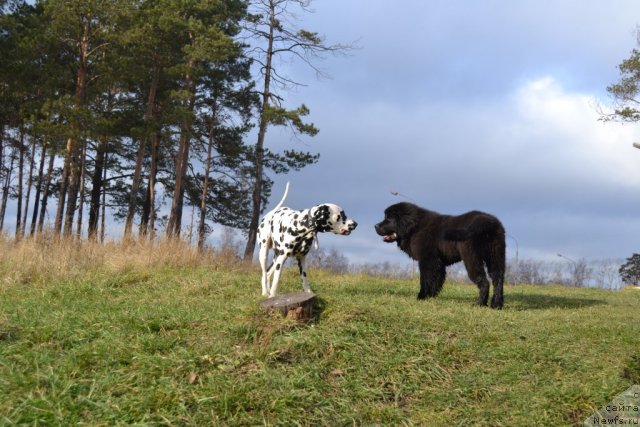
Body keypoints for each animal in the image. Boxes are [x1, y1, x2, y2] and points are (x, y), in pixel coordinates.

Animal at [376, 202, 504, 310]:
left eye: (388, 218)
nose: (375, 226)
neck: (415, 228)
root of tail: (486, 221)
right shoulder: (438, 262)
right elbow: (436, 280)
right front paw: (431, 296)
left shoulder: (427, 260)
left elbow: (425, 279)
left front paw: (421, 297)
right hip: (496, 256)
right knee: (498, 279)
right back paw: (496, 305)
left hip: (471, 257)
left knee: (484, 281)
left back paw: (480, 304)